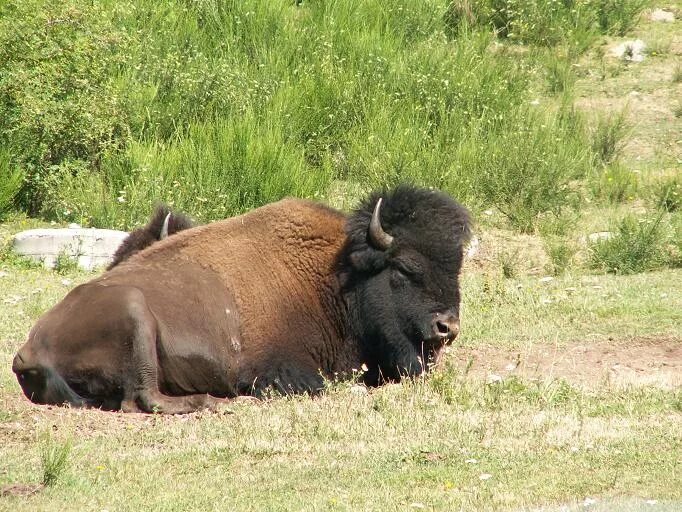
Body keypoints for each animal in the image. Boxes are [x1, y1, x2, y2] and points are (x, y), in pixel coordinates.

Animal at [11, 186, 468, 414]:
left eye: (457, 265)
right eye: (405, 268)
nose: (447, 327)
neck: (337, 276)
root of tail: (29, 346)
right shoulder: (282, 371)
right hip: (135, 312)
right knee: (142, 399)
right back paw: (212, 401)